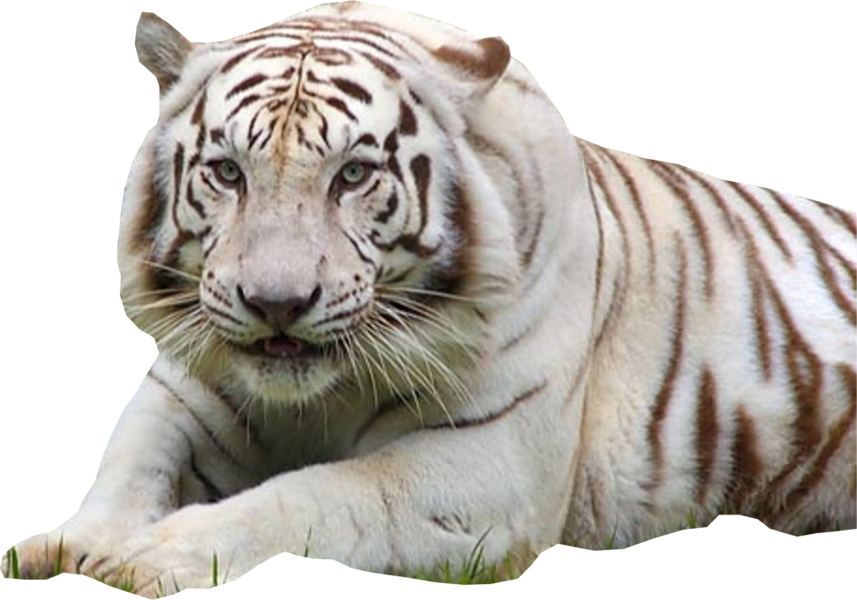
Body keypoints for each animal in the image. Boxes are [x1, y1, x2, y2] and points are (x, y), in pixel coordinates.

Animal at [3, 1, 855, 596]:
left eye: (351, 174)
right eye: (227, 172)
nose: (276, 302)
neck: (317, 399)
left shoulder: (488, 464)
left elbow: (316, 495)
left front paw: (155, 556)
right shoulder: (182, 388)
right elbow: (129, 464)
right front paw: (65, 546)